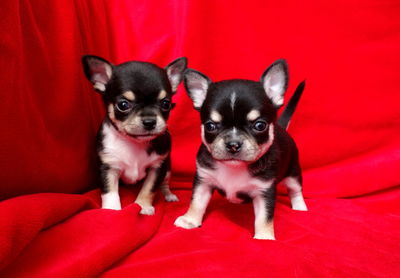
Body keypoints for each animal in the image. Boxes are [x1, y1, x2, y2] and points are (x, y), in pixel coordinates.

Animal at [82, 54, 188, 215]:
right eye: (123, 105)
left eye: (166, 104)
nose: (150, 121)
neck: (134, 142)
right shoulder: (108, 167)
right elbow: (109, 191)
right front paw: (111, 210)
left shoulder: (158, 167)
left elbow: (149, 188)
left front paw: (142, 205)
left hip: (168, 169)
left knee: (164, 184)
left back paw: (168, 195)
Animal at [173, 60, 308, 239]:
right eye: (210, 126)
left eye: (260, 125)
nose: (233, 144)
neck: (234, 167)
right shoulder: (204, 180)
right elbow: (197, 202)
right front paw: (190, 220)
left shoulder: (264, 191)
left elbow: (264, 217)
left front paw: (264, 237)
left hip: (293, 172)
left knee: (295, 190)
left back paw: (300, 208)